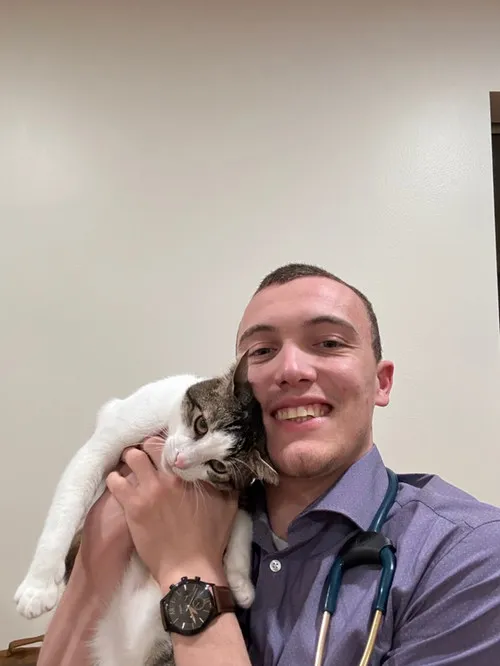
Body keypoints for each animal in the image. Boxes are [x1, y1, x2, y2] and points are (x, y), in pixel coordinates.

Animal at [14, 357, 278, 666]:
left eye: (218, 466)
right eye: (201, 424)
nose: (180, 460)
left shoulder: (240, 489)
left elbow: (244, 519)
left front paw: (240, 583)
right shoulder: (120, 424)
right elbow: (72, 494)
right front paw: (38, 586)